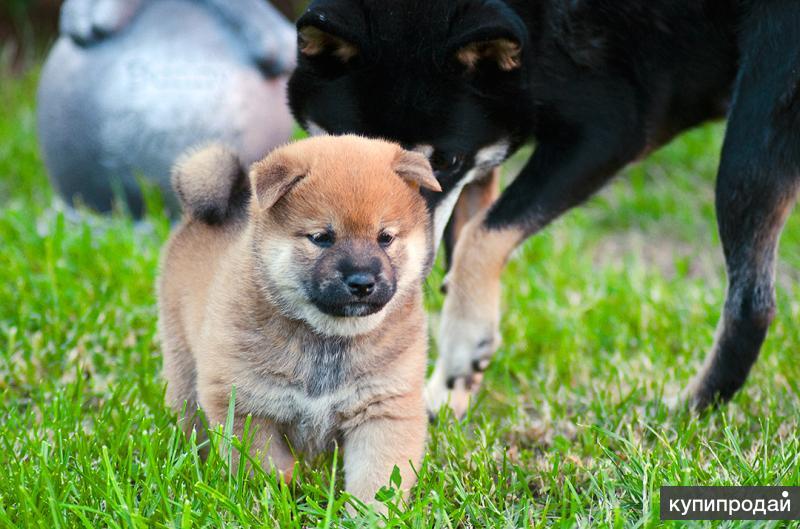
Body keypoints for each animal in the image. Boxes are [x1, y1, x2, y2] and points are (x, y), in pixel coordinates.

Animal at [159, 134, 440, 506]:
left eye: (385, 237)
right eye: (321, 238)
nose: (362, 282)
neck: (327, 337)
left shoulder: (383, 407)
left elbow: (377, 479)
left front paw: (368, 513)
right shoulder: (246, 405)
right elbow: (264, 468)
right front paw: (273, 502)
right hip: (182, 364)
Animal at [288, 1, 800, 416]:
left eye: (444, 161)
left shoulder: (609, 130)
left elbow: (480, 237)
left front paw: (463, 345)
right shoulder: (486, 149)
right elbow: (463, 242)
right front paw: (450, 388)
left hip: (750, 135)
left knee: (753, 304)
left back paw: (687, 411)